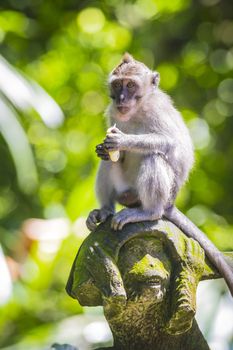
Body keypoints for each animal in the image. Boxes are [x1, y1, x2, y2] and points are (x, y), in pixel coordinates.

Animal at [85, 53, 233, 296]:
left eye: (130, 85)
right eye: (117, 85)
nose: (121, 98)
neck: (137, 109)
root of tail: (170, 204)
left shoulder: (158, 110)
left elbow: (171, 143)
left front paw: (123, 140)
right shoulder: (112, 112)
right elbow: (112, 156)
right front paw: (104, 149)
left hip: (162, 194)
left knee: (153, 156)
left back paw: (148, 212)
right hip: (126, 190)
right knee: (109, 165)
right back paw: (105, 210)